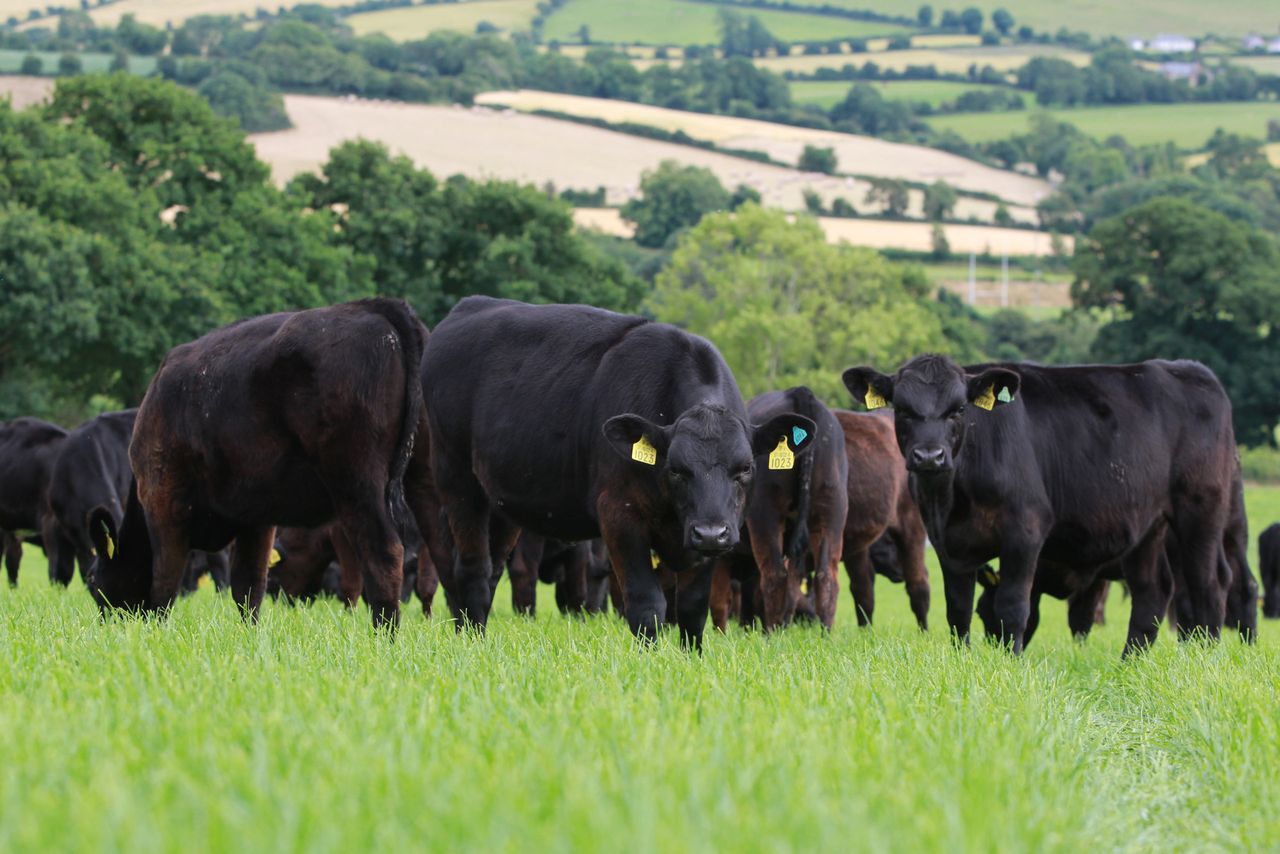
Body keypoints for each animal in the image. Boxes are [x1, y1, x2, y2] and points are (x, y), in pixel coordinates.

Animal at [87, 298, 428, 630]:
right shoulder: (256, 518)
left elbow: (164, 583)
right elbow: (248, 585)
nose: (103, 624)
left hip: (357, 484)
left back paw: (385, 635)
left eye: (91, 581)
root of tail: (371, 306)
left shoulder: (163, 501)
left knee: (384, 554)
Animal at [422, 296, 815, 647]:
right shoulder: (619, 514)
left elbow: (691, 609)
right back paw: (470, 642)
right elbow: (646, 603)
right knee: (472, 567)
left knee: (490, 569)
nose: (710, 532)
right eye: (676, 469)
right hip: (456, 479)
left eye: (745, 467)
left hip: (502, 502)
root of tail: (468, 306)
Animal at [708, 387, 847, 631]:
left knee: (775, 576)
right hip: (831, 510)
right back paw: (822, 633)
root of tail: (799, 392)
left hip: (766, 515)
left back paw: (772, 633)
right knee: (824, 578)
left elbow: (720, 600)